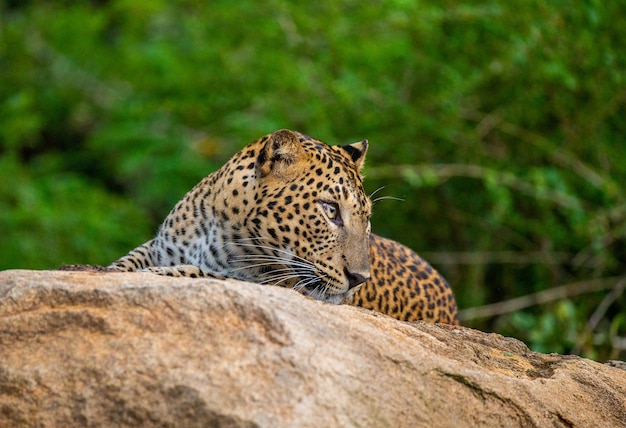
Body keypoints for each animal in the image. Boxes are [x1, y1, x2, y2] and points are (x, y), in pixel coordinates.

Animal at [108, 129, 458, 322]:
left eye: (367, 219)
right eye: (330, 209)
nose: (360, 280)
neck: (222, 233)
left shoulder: (279, 287)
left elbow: (210, 276)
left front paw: (162, 275)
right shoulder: (158, 247)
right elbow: (126, 262)